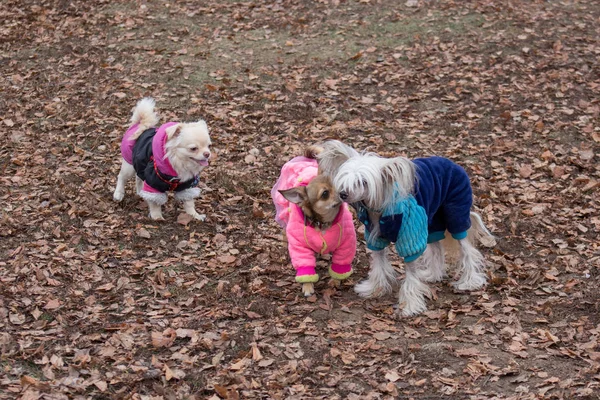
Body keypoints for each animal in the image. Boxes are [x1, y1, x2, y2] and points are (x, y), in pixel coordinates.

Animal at [272, 148, 356, 296]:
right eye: (325, 194)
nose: (344, 191)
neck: (322, 224)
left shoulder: (346, 245)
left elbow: (340, 266)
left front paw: (335, 281)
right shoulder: (301, 248)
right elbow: (305, 268)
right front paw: (307, 286)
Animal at [316, 140, 494, 316]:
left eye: (363, 182)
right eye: (346, 179)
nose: (343, 194)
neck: (379, 209)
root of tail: (451, 162)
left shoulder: (409, 238)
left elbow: (411, 273)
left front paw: (409, 305)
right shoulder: (376, 239)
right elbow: (378, 263)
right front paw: (375, 289)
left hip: (455, 214)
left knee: (467, 250)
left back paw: (470, 281)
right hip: (432, 219)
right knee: (436, 247)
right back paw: (433, 274)